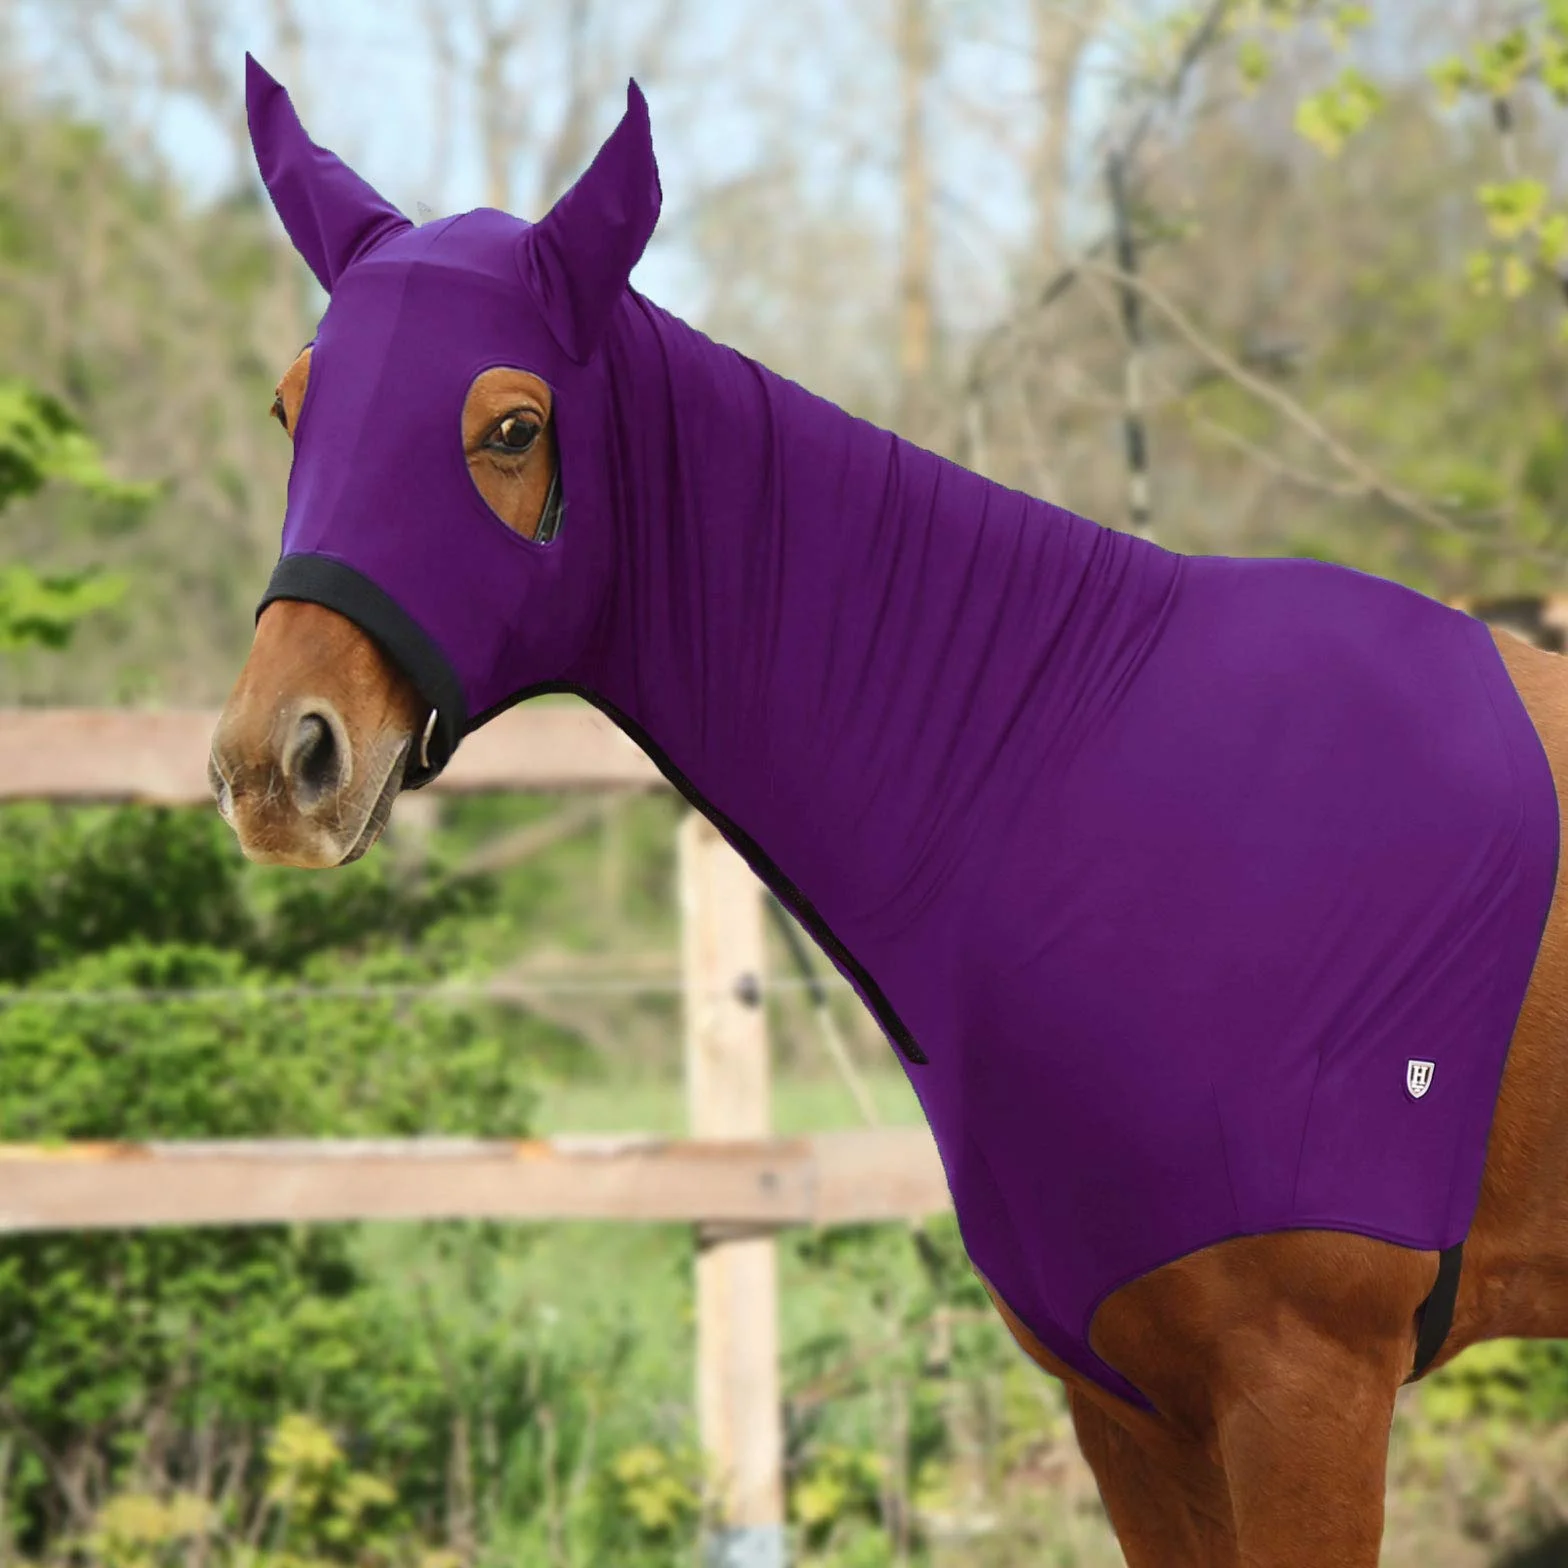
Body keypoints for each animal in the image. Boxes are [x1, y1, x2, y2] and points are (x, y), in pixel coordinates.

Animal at [210, 56, 1568, 1566]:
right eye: (289, 409)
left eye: (510, 427)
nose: (278, 765)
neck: (1071, 778)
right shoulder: (1134, 1406)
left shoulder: (1305, 1384)